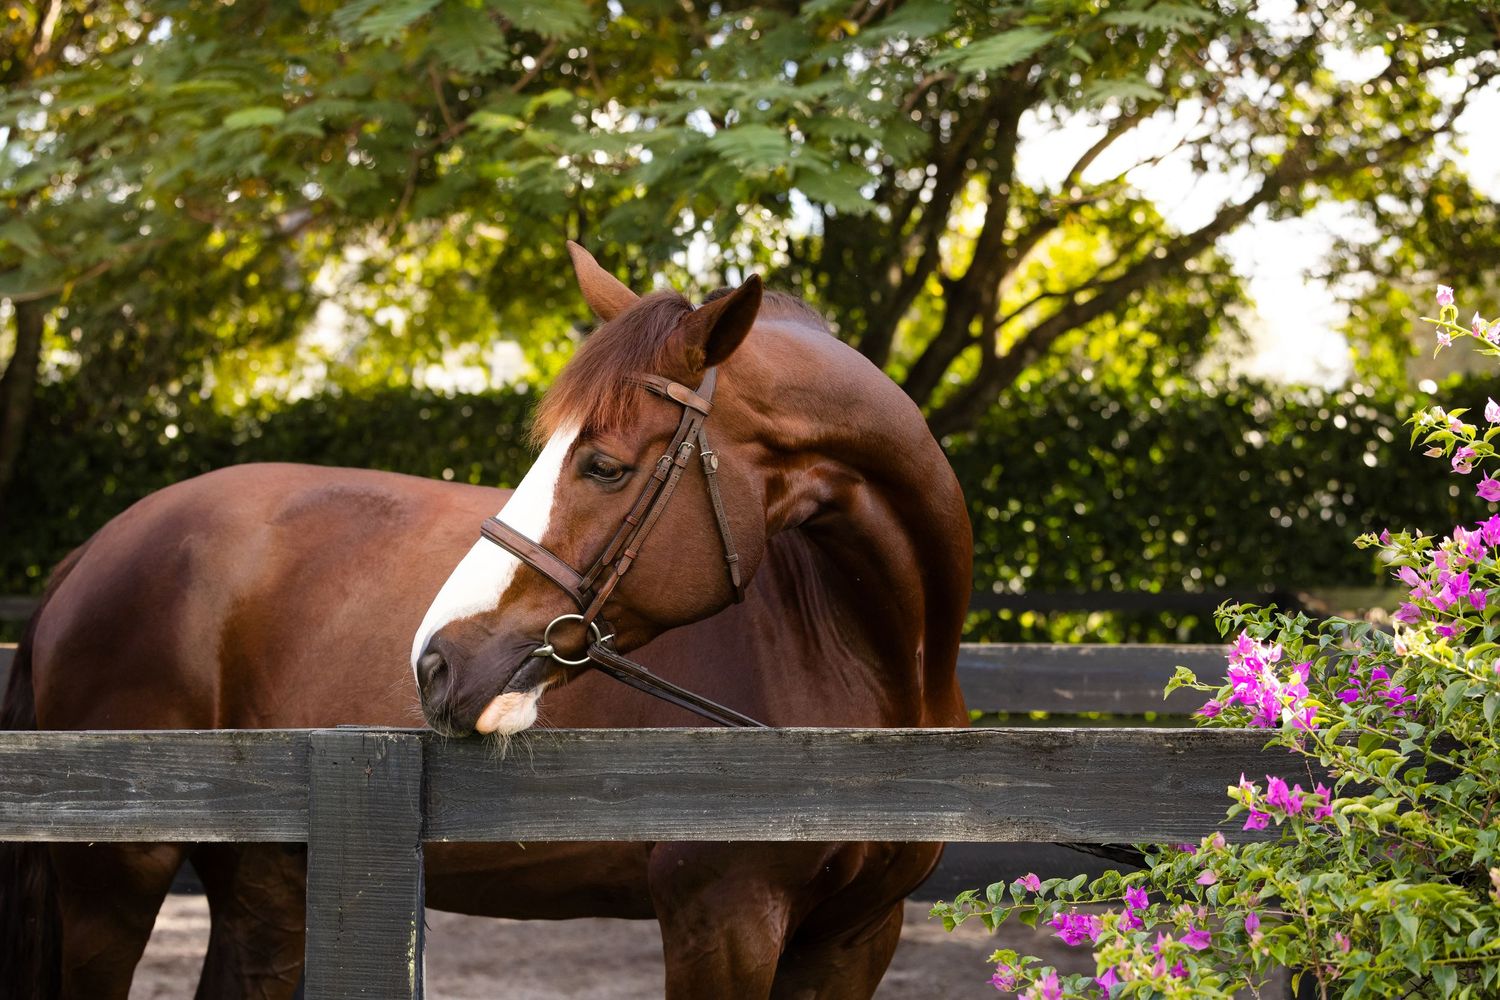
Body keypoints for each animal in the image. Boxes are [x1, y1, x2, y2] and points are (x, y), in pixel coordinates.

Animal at [0, 243, 972, 999]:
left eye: (605, 465)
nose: (434, 662)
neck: (863, 661)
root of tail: (93, 553)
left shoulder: (855, 937)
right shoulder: (723, 920)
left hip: (265, 880)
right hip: (115, 880)